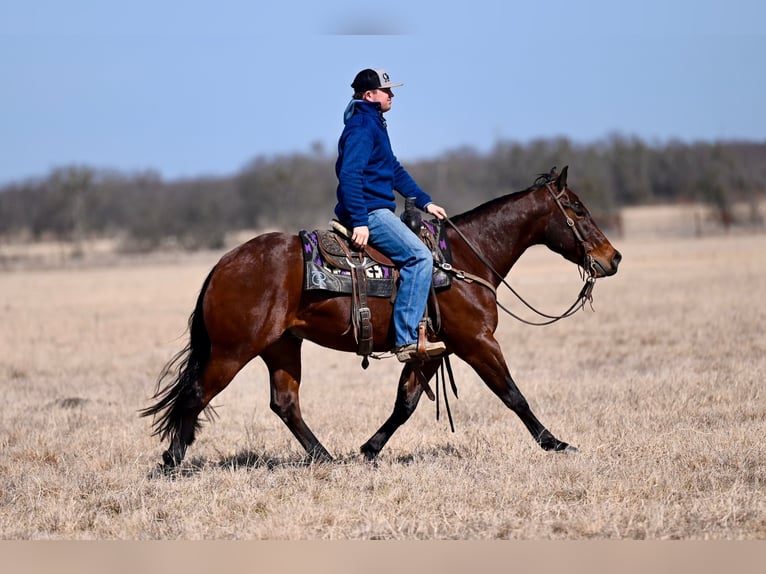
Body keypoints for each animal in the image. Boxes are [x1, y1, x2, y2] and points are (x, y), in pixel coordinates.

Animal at [141, 166, 621, 469]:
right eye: (577, 209)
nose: (612, 258)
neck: (461, 260)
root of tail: (223, 265)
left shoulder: (429, 351)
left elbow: (405, 403)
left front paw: (369, 449)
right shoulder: (478, 343)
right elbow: (513, 395)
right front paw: (555, 443)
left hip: (282, 347)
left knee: (285, 403)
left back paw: (324, 457)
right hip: (232, 351)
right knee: (196, 395)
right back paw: (171, 462)